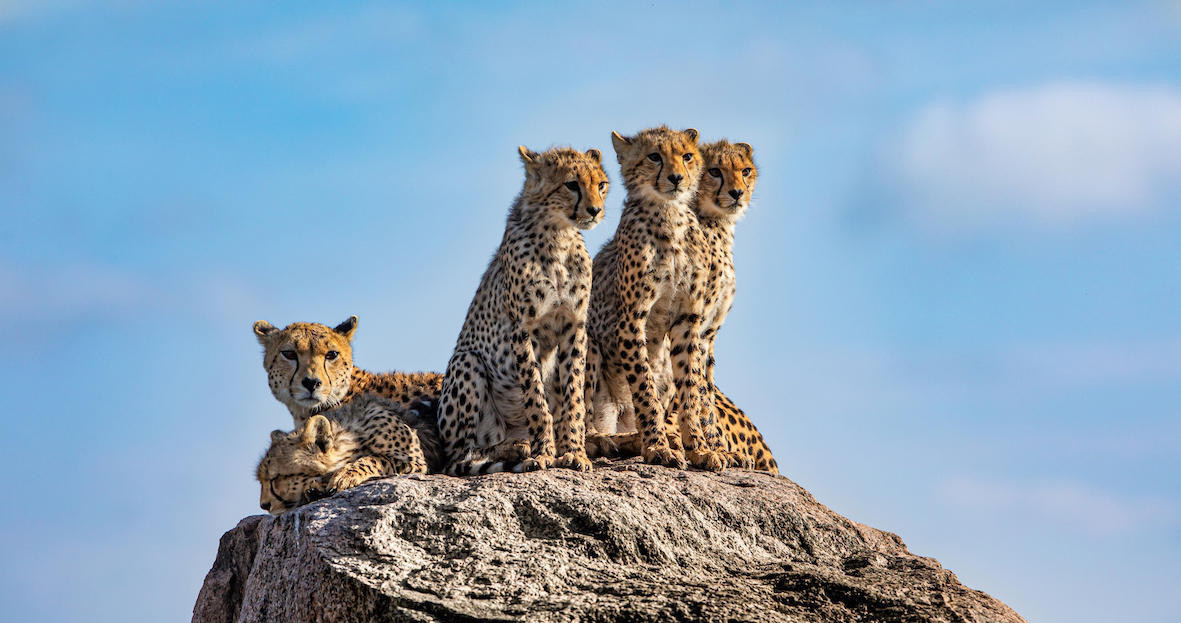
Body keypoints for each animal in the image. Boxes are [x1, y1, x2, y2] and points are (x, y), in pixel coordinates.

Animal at [435, 145, 608, 476]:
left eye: (601, 184)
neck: (558, 236)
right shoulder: (523, 330)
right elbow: (536, 398)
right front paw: (543, 454)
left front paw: (574, 452)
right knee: (460, 456)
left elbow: (573, 397)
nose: (595, 210)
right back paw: (516, 448)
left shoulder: (575, 327)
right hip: (467, 362)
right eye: (571, 184)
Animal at [586, 139, 778, 474]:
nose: (737, 193)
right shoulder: (694, 325)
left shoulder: (705, 333)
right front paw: (709, 447)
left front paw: (712, 448)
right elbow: (698, 391)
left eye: (745, 171)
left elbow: (703, 389)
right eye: (714, 171)